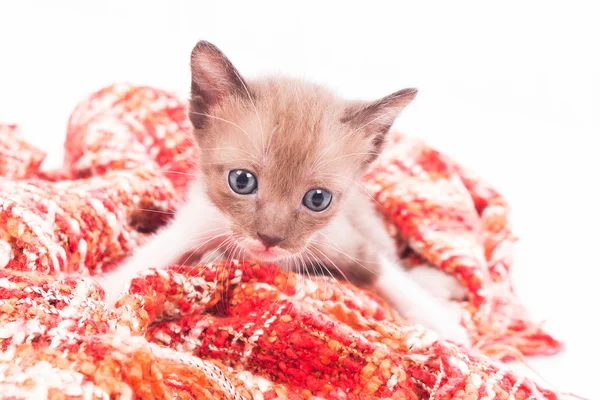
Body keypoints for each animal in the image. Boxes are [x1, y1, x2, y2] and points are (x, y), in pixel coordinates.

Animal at [98, 42, 472, 346]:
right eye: (242, 181)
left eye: (318, 199)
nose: (270, 238)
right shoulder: (198, 221)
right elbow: (146, 260)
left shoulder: (346, 241)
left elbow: (385, 274)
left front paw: (450, 329)